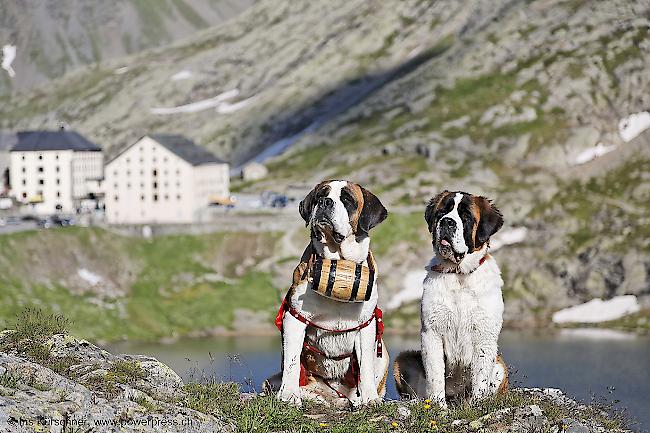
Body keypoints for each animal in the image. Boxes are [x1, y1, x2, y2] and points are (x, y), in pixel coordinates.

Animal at [262, 178, 388, 404]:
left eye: (347, 199)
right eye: (320, 195)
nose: (325, 202)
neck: (338, 261)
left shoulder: (367, 325)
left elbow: (365, 366)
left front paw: (370, 399)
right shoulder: (294, 319)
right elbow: (292, 361)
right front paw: (289, 395)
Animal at [392, 191, 508, 406]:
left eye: (466, 216)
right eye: (441, 212)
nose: (447, 222)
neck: (458, 275)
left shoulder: (485, 335)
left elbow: (480, 374)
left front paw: (477, 404)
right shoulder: (431, 332)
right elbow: (435, 372)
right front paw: (438, 405)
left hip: (500, 365)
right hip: (403, 358)